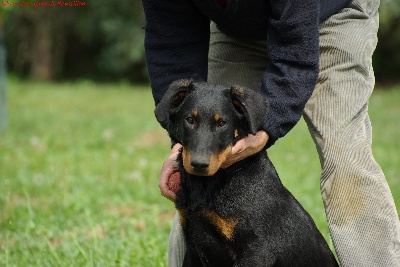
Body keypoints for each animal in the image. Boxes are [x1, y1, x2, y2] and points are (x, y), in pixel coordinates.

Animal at [155, 80, 340, 267]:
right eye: (189, 120)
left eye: (222, 123)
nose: (199, 164)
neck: (209, 184)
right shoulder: (193, 246)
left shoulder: (257, 251)